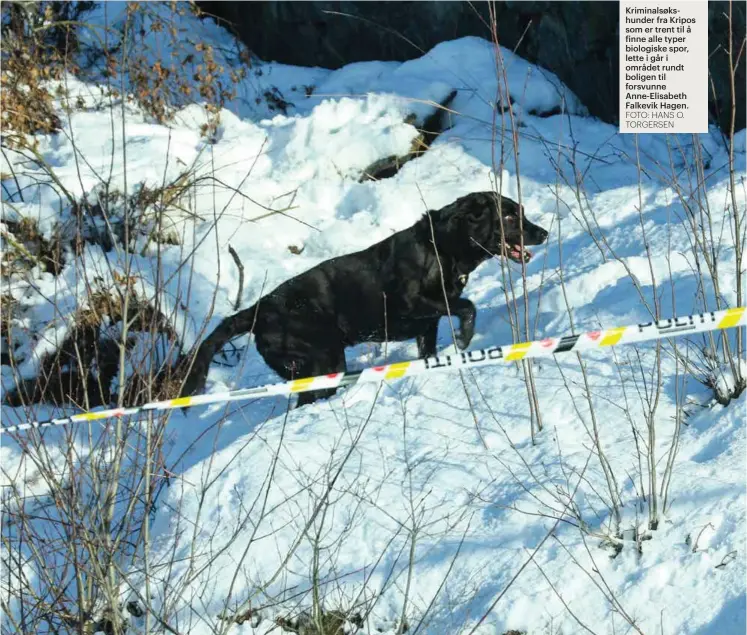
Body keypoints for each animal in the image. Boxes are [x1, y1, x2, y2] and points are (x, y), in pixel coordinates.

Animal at [183, 190, 548, 408]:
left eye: (521, 212)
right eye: (509, 216)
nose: (543, 232)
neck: (442, 247)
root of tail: (259, 310)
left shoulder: (426, 326)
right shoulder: (410, 305)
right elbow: (466, 306)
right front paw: (464, 337)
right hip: (323, 361)